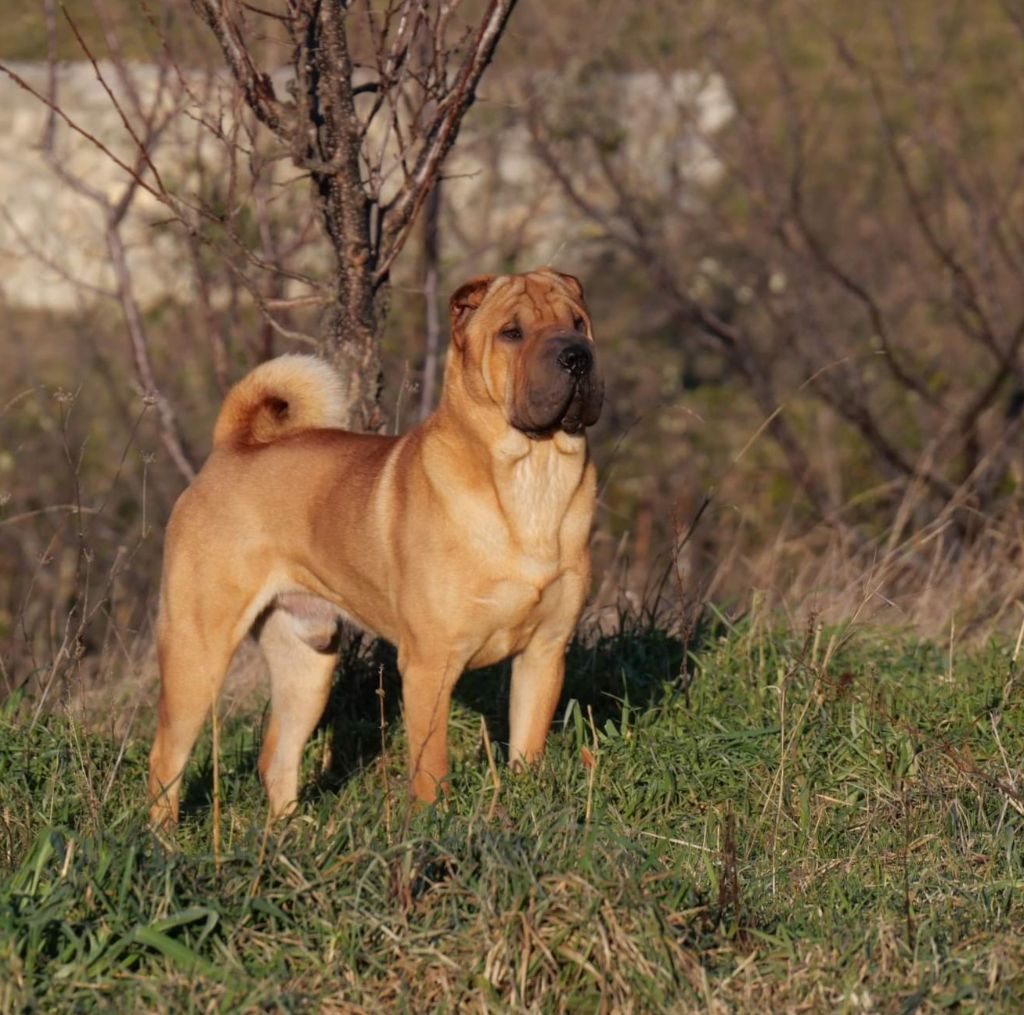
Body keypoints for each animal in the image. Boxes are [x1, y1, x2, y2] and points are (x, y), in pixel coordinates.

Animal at [148, 268, 602, 827]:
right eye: (512, 333)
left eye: (577, 323)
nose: (576, 356)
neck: (533, 475)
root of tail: (230, 448)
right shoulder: (430, 662)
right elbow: (430, 764)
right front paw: (431, 824)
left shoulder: (544, 651)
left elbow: (527, 746)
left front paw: (525, 797)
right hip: (197, 651)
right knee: (167, 759)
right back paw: (164, 837)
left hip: (307, 661)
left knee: (277, 753)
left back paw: (289, 835)